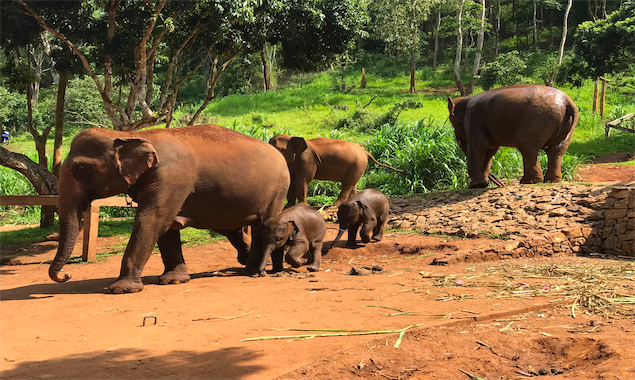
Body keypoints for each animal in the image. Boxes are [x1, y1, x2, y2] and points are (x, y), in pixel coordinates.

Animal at [52, 124, 290, 294]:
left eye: (80, 168)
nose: (66, 275)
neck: (130, 134)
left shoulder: (170, 177)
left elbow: (152, 220)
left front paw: (121, 289)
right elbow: (167, 227)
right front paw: (174, 280)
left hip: (277, 190)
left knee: (262, 225)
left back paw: (253, 271)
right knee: (232, 228)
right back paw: (246, 265)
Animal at [268, 134, 402, 205]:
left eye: (280, 149)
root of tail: (365, 151)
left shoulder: (307, 161)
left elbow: (302, 181)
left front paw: (301, 206)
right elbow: (292, 181)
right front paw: (288, 207)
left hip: (358, 164)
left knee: (348, 184)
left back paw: (337, 204)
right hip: (358, 166)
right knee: (353, 184)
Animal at [448, 84, 580, 189]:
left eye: (454, 125)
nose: (502, 184)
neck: (466, 99)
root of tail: (568, 101)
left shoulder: (473, 118)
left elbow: (480, 144)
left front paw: (476, 185)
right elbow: (490, 149)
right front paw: (482, 185)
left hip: (537, 119)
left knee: (526, 146)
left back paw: (529, 181)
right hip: (563, 125)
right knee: (556, 150)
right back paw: (550, 181)